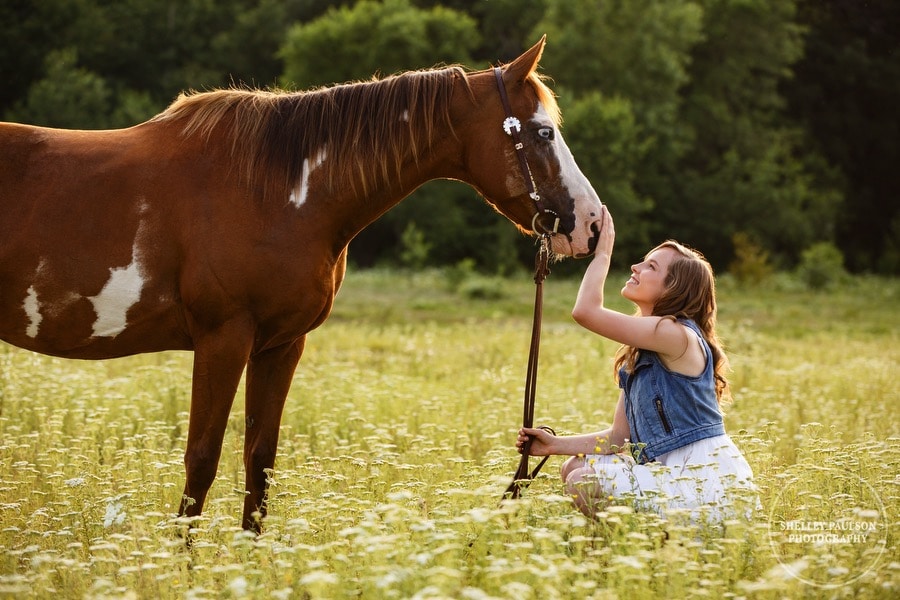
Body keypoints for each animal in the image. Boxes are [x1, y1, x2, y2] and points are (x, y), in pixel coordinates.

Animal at [1, 37, 604, 528]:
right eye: (543, 132)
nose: (592, 224)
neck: (279, 192)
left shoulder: (281, 345)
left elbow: (259, 461)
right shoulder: (223, 340)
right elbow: (202, 461)